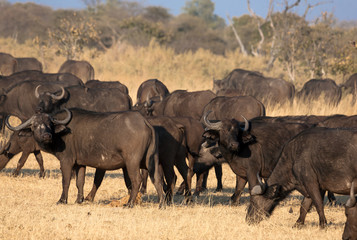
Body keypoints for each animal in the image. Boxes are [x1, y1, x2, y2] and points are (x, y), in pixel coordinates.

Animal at [5, 109, 164, 206]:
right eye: (35, 125)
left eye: (49, 124)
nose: (46, 136)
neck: (61, 134)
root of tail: (145, 122)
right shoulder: (80, 164)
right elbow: (79, 182)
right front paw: (79, 200)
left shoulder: (67, 161)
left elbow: (66, 181)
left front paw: (62, 200)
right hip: (153, 160)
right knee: (157, 179)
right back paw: (161, 203)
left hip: (132, 162)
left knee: (136, 180)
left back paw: (129, 203)